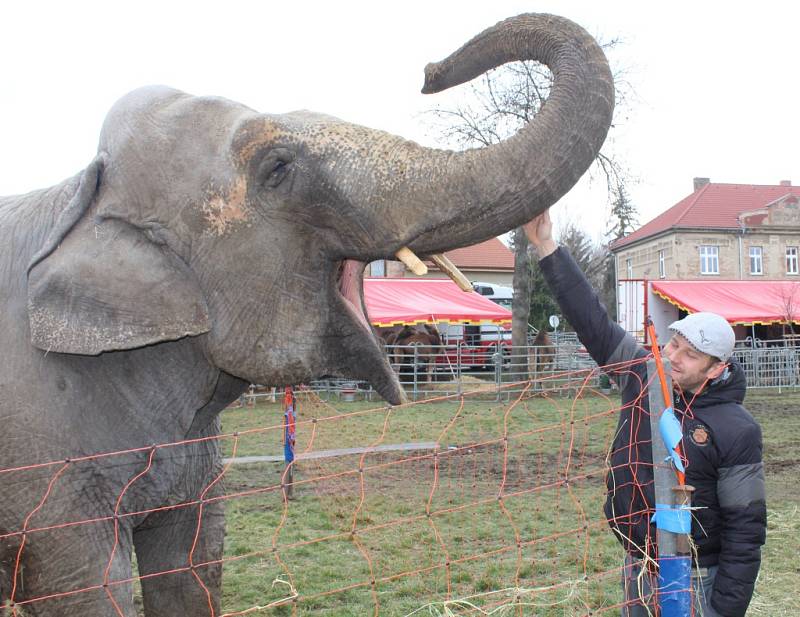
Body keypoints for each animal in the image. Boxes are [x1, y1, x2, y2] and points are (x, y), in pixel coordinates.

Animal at [0, 10, 612, 616]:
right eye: (277, 168)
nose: (430, 72)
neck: (82, 196)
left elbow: (194, 564)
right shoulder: (49, 474)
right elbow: (84, 585)